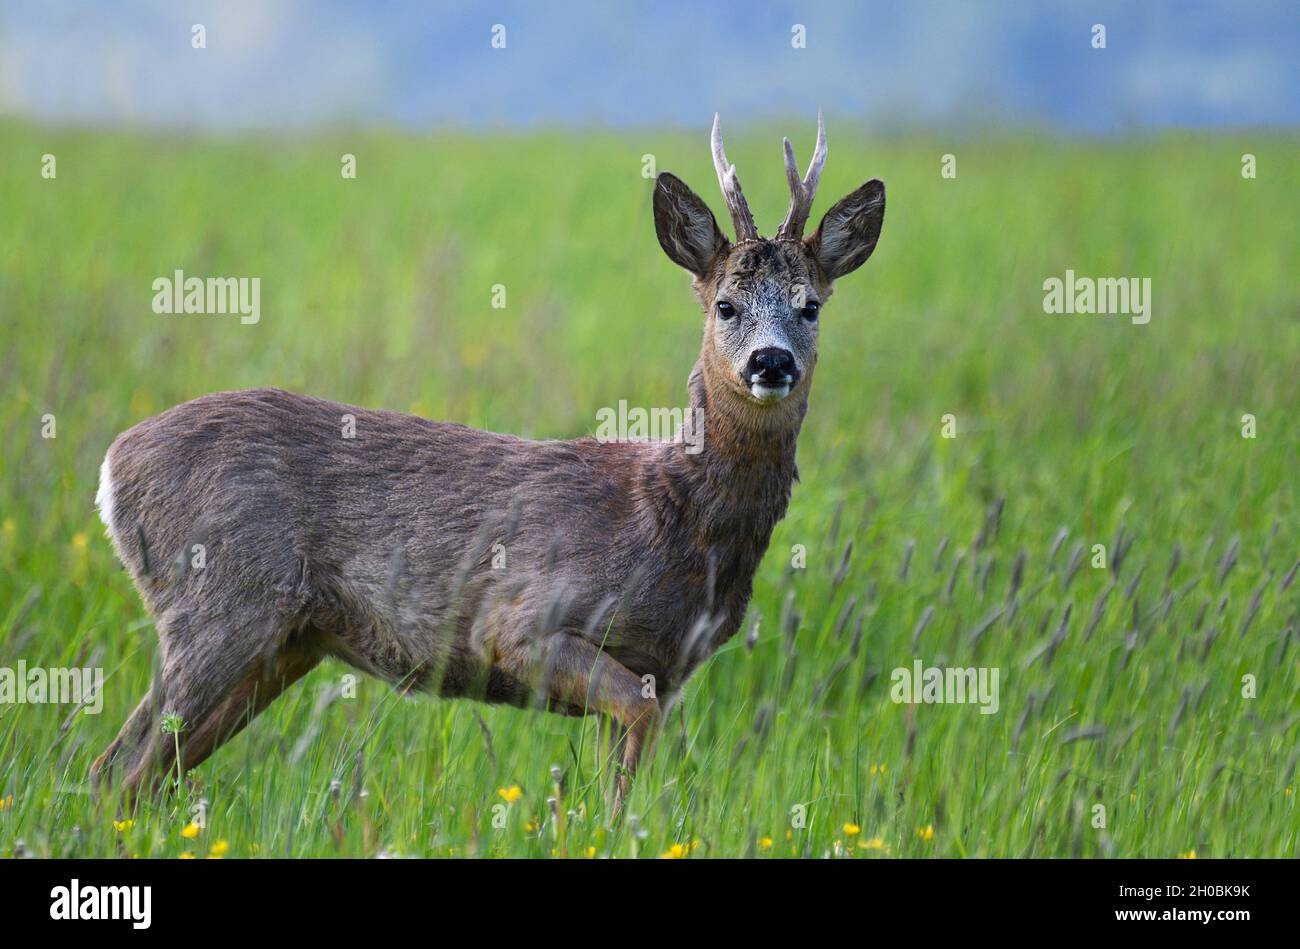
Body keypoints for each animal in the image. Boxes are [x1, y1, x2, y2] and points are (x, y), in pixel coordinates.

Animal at [91, 114, 885, 815]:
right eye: (725, 305)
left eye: (810, 305)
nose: (770, 362)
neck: (670, 515)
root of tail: (112, 466)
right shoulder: (521, 620)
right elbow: (636, 725)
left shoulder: (656, 664)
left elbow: (624, 770)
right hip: (219, 604)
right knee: (117, 767)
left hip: (282, 643)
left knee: (145, 772)